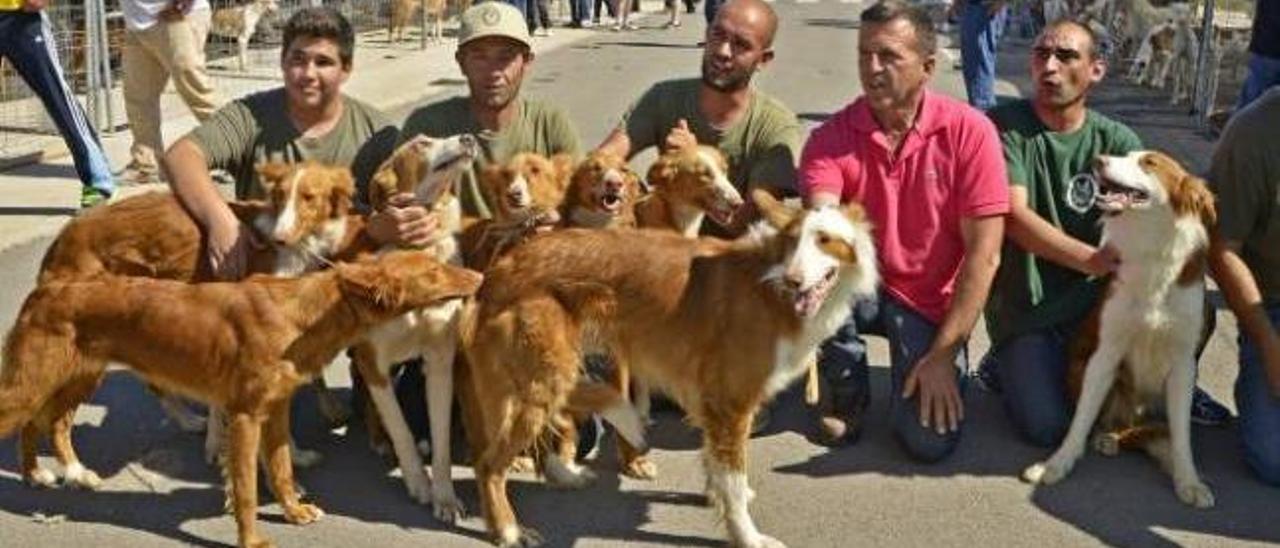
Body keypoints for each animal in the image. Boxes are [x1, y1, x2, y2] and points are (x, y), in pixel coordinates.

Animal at [1018, 151, 1218, 509]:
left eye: (1149, 163)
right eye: (1125, 156)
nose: (1098, 160)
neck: (1152, 251)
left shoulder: (1184, 366)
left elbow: (1181, 436)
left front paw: (1189, 480)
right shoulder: (1105, 353)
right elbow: (1080, 419)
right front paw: (1056, 464)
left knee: (1149, 431)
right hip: (1082, 367)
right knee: (1112, 425)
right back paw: (1108, 437)